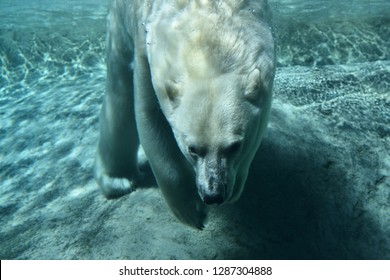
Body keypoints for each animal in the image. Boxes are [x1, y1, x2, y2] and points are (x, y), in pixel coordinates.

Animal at [95, 0, 276, 229]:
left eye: (235, 146)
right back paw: (117, 180)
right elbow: (150, 118)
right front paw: (190, 210)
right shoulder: (145, 44)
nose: (213, 195)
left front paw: (236, 186)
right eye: (193, 149)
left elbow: (259, 124)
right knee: (120, 93)